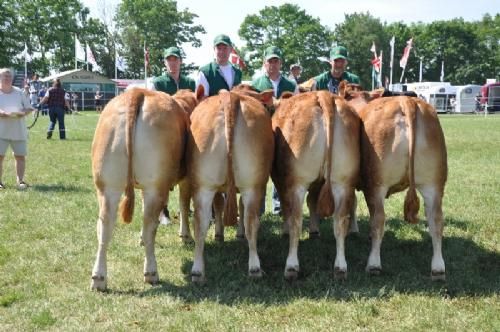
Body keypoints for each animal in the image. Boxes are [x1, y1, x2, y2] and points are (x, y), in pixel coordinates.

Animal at [90, 87, 201, 290]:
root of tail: (137, 92)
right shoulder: (187, 179)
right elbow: (183, 204)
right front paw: (186, 236)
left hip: (107, 185)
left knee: (104, 226)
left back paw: (98, 278)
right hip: (154, 186)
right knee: (150, 225)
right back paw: (151, 273)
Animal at [187, 89, 274, 282]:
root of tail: (230, 96)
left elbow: (221, 205)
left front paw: (220, 234)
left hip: (204, 185)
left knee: (200, 223)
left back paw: (197, 271)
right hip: (250, 185)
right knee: (250, 220)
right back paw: (254, 267)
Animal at [272, 90, 362, 280]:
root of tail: (323, 95)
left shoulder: (281, 181)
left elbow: (287, 208)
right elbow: (312, 201)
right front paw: (315, 231)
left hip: (298, 182)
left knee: (296, 220)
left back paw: (291, 266)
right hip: (342, 182)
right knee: (340, 221)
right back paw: (340, 267)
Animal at [340, 81, 450, 278]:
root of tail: (407, 102)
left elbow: (352, 204)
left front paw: (353, 230)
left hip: (376, 183)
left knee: (378, 219)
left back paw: (374, 264)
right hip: (434, 182)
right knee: (436, 220)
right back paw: (438, 268)